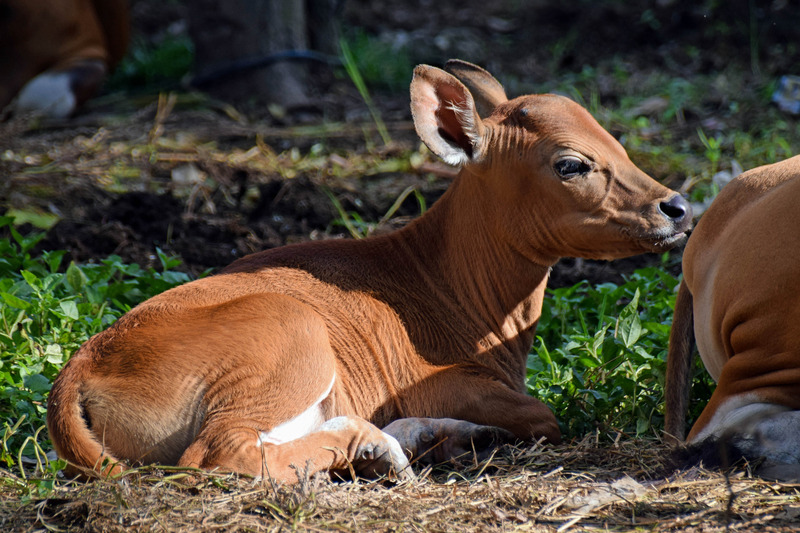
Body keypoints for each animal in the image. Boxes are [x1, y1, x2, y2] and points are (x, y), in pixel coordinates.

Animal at [47, 61, 692, 482]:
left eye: (617, 143)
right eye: (570, 163)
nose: (677, 206)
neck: (444, 285)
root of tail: (77, 371)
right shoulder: (444, 380)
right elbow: (545, 415)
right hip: (288, 340)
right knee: (220, 454)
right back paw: (377, 447)